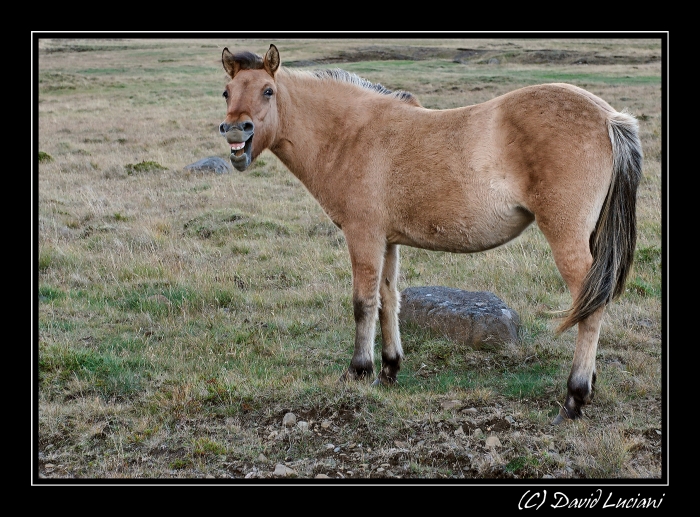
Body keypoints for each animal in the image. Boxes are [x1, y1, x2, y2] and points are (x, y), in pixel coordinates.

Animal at [217, 43, 640, 424]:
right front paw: (389, 370)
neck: (351, 135)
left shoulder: (363, 236)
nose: (236, 132)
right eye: (227, 91)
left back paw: (574, 397)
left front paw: (358, 371)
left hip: (567, 239)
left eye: (267, 91)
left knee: (591, 306)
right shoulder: (387, 242)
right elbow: (388, 299)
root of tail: (608, 117)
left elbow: (363, 303)